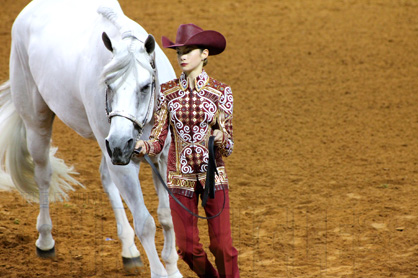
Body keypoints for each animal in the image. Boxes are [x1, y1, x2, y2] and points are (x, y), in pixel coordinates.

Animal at [0, 0, 181, 278]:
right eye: (108, 85)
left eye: (145, 86)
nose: (121, 144)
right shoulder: (123, 164)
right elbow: (146, 223)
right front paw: (161, 273)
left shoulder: (160, 158)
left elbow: (166, 216)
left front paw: (173, 268)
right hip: (37, 121)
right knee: (43, 174)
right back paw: (45, 241)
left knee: (105, 177)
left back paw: (128, 249)